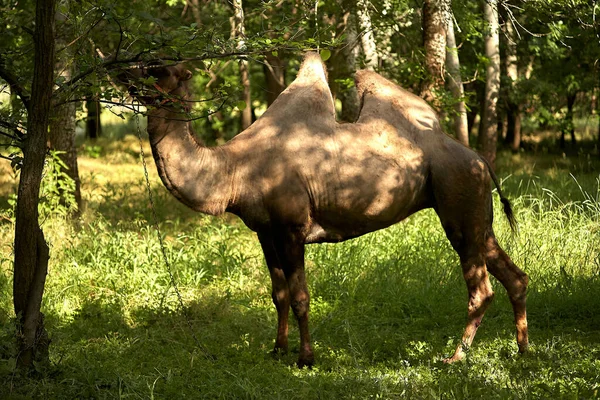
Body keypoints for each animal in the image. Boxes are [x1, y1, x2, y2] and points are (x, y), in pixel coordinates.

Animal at [123, 53, 528, 368]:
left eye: (159, 69)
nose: (123, 72)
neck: (233, 171)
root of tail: (479, 158)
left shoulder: (291, 228)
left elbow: (300, 296)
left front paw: (306, 358)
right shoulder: (265, 231)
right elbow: (278, 294)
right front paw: (277, 350)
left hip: (457, 201)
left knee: (480, 288)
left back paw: (455, 358)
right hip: (477, 215)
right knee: (515, 276)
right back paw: (523, 350)